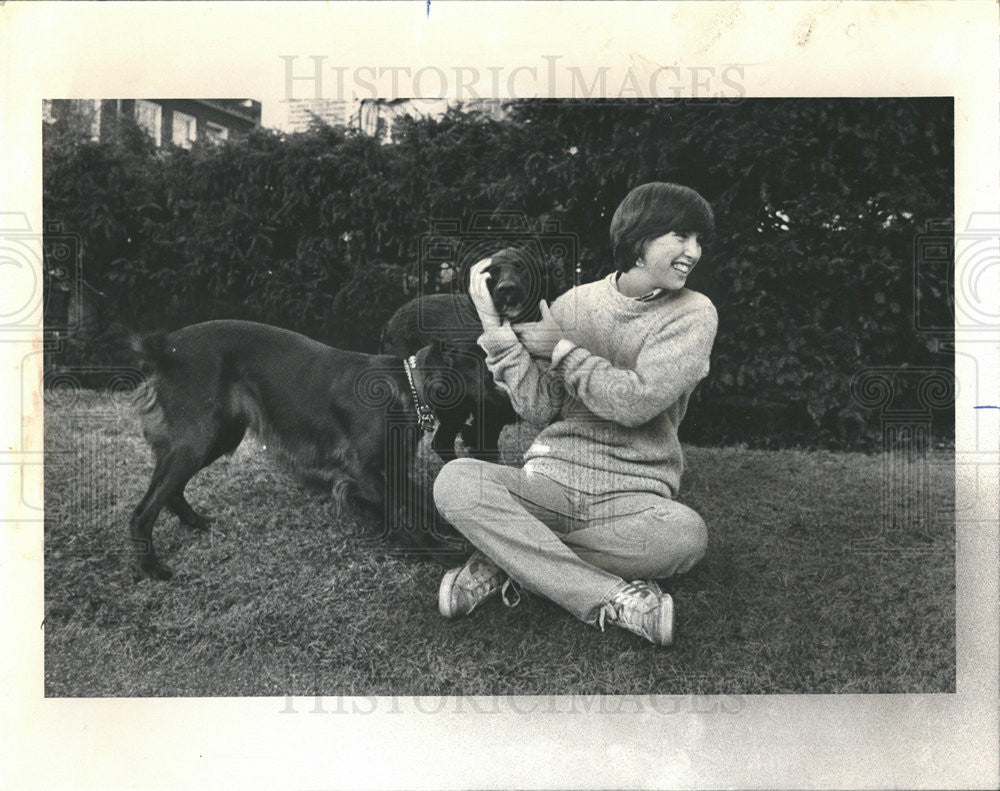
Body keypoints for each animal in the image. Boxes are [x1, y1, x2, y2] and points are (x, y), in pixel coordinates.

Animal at [130, 318, 480, 580]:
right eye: (481, 362)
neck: (406, 386)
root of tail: (166, 346)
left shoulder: (391, 470)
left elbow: (425, 501)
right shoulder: (362, 471)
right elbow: (402, 513)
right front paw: (440, 551)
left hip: (218, 437)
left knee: (171, 491)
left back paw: (196, 522)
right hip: (198, 439)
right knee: (142, 511)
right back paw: (151, 568)